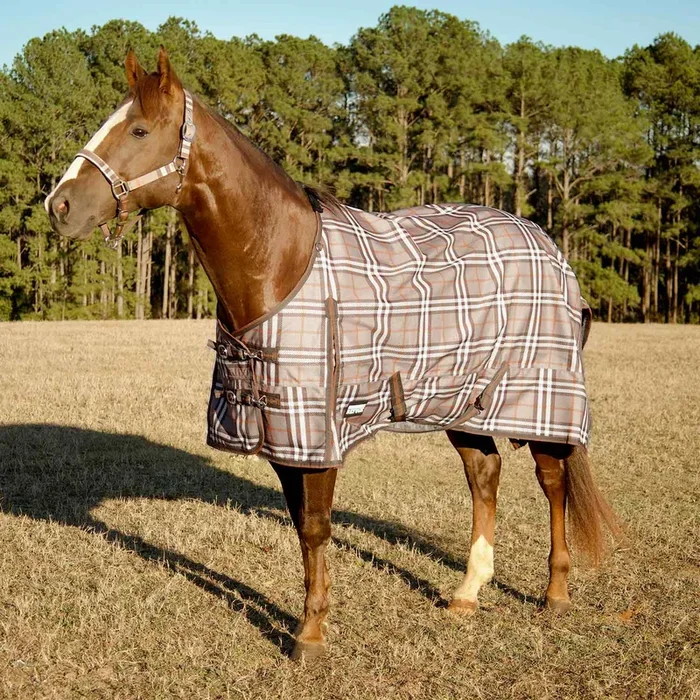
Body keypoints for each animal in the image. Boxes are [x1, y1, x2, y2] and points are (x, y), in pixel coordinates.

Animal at [45, 47, 619, 661]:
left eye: (139, 130)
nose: (59, 205)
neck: (282, 261)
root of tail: (548, 244)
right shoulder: (281, 430)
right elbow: (302, 526)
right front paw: (310, 621)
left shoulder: (318, 428)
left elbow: (318, 527)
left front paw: (310, 635)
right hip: (461, 398)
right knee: (485, 473)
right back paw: (467, 592)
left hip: (539, 393)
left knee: (553, 481)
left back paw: (555, 594)